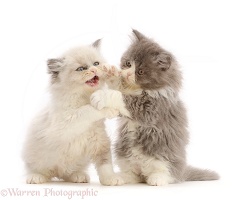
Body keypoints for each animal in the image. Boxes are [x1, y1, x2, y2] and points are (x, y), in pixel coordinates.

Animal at [21, 40, 124, 186]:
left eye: (96, 63)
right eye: (81, 69)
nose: (93, 70)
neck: (84, 97)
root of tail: (57, 172)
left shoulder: (99, 141)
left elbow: (105, 164)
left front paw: (111, 179)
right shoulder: (67, 122)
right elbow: (88, 109)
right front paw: (109, 110)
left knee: (67, 174)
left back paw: (78, 177)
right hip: (35, 159)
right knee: (36, 170)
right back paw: (36, 177)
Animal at [90, 29, 219, 186]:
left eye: (140, 72)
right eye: (128, 63)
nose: (128, 73)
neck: (140, 90)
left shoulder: (151, 108)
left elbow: (121, 97)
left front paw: (101, 95)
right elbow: (119, 87)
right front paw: (110, 72)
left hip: (163, 156)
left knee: (167, 173)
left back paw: (157, 179)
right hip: (124, 152)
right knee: (134, 174)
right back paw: (125, 177)